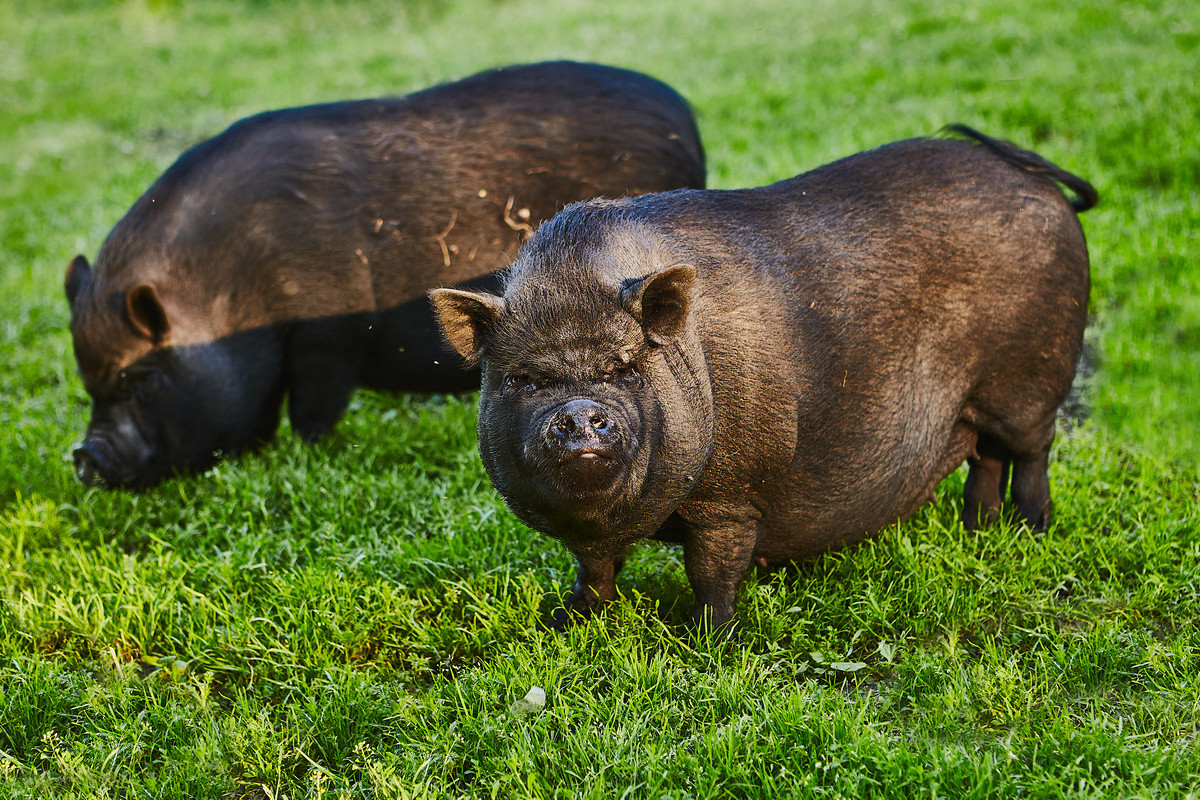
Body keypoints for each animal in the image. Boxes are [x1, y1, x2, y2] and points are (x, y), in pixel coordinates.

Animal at [63, 59, 700, 489]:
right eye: (89, 383)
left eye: (140, 378)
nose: (84, 458)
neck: (231, 294)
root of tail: (683, 115)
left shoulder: (327, 337)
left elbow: (312, 410)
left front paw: (307, 454)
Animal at [432, 125, 1099, 633]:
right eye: (523, 379)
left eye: (625, 367)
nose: (577, 412)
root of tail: (1032, 174)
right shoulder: (590, 534)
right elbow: (592, 569)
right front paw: (564, 623)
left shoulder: (730, 496)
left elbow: (712, 571)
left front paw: (709, 640)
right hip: (979, 403)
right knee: (986, 457)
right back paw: (978, 528)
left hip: (1032, 380)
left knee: (1031, 451)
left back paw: (1031, 529)